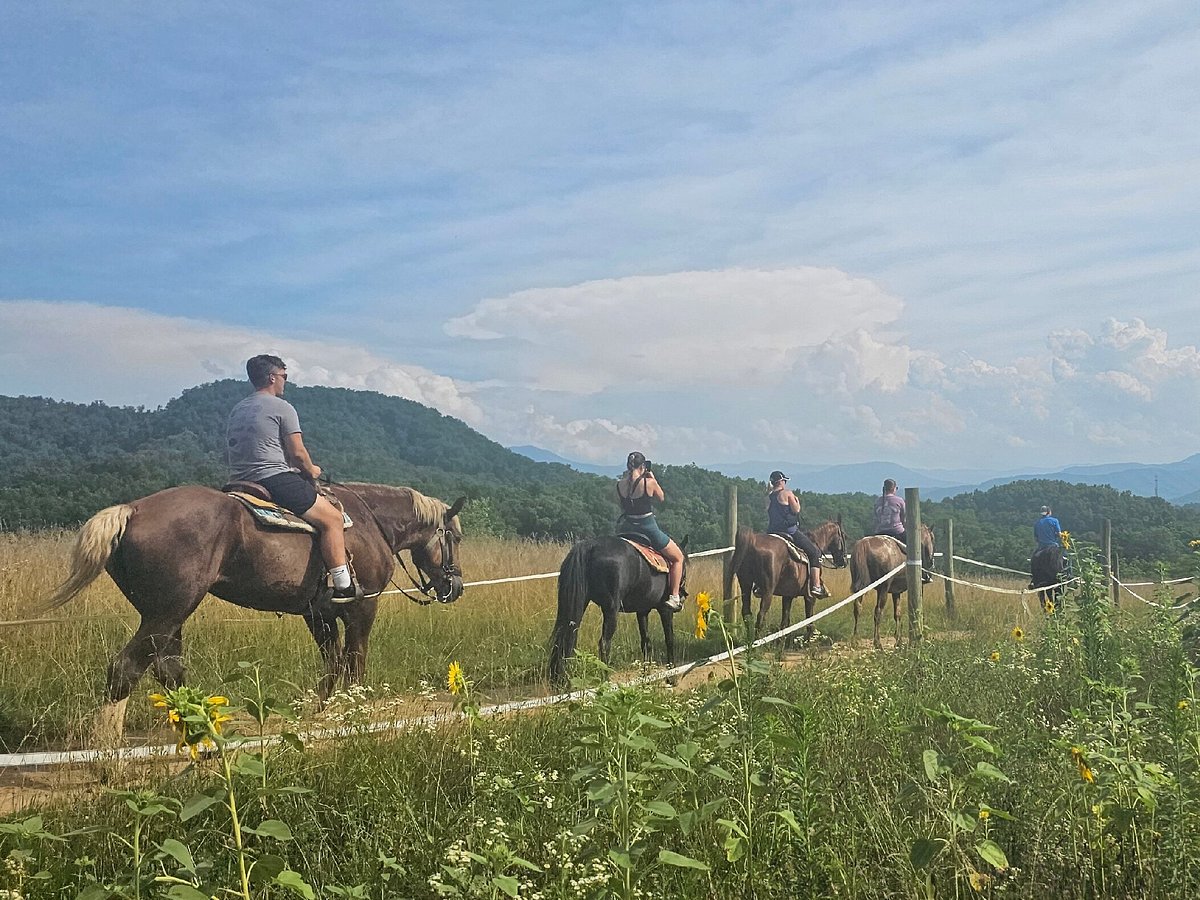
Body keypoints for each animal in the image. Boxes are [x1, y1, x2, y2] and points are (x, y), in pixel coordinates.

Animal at [41, 482, 463, 744]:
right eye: (455, 537)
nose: (455, 586)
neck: (369, 522)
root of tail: (131, 510)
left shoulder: (318, 614)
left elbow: (332, 661)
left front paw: (324, 712)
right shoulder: (362, 608)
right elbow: (354, 662)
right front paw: (353, 710)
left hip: (166, 615)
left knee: (168, 669)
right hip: (168, 611)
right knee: (126, 669)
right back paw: (108, 753)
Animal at [549, 535, 691, 691]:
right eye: (684, 567)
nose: (683, 597)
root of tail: (590, 546)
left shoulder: (642, 610)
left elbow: (646, 643)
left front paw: (646, 678)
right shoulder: (665, 610)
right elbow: (669, 640)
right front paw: (672, 676)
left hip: (578, 605)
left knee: (564, 639)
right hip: (611, 610)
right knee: (604, 644)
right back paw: (605, 683)